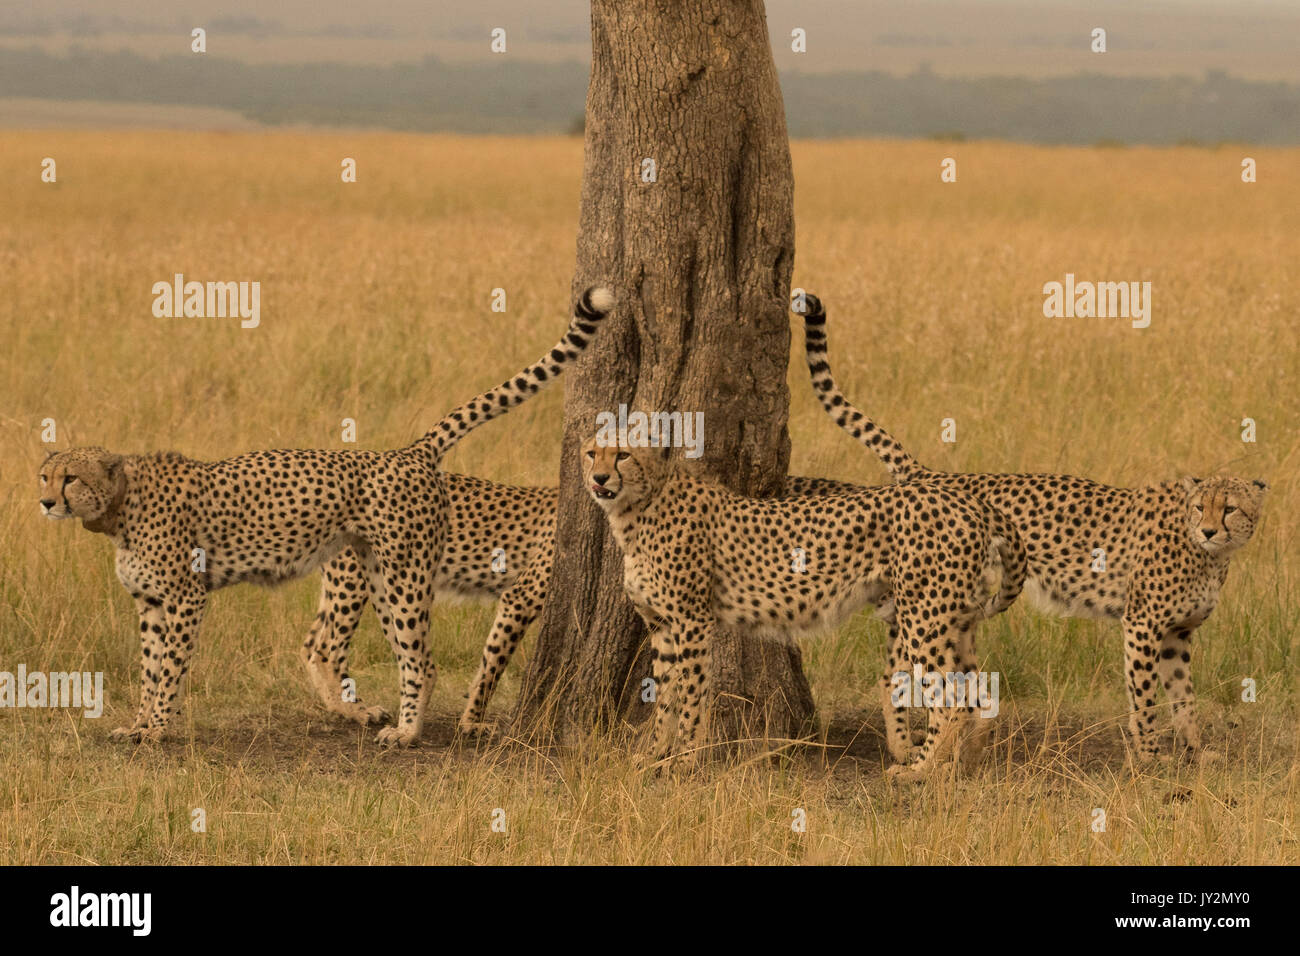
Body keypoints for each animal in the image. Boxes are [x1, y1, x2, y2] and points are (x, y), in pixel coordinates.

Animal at [37, 286, 614, 747]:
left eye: (70, 478)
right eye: (45, 474)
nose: (44, 502)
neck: (118, 509)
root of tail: (409, 451)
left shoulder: (183, 598)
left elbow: (168, 670)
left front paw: (156, 728)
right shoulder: (152, 603)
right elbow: (149, 668)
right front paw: (138, 725)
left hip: (396, 576)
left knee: (412, 658)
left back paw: (406, 732)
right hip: (374, 576)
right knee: (333, 646)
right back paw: (372, 716)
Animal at [580, 431, 1028, 776]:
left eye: (622, 454)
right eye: (592, 452)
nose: (599, 477)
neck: (636, 508)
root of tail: (967, 499)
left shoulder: (691, 622)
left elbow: (690, 695)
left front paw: (683, 761)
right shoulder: (663, 626)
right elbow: (664, 696)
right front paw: (652, 754)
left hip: (924, 616)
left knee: (952, 697)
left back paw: (922, 769)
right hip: (955, 618)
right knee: (978, 691)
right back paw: (962, 763)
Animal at [797, 290, 1268, 764]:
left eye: (1229, 509)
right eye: (1199, 508)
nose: (1209, 531)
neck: (1210, 557)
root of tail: (932, 476)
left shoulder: (1176, 633)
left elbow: (1184, 696)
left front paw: (1196, 751)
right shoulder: (1142, 625)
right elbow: (1146, 697)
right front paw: (1150, 755)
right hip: (931, 601)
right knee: (895, 672)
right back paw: (905, 750)